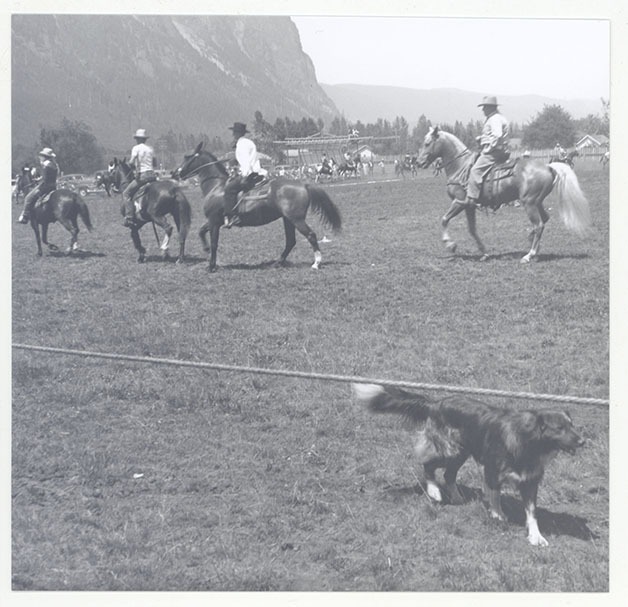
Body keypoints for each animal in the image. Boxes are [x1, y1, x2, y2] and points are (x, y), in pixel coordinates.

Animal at [173, 142, 344, 270]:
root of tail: (303, 184)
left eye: (187, 157)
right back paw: (277, 263)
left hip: (296, 219)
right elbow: (201, 232)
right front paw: (206, 250)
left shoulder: (214, 221)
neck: (216, 187)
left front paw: (211, 265)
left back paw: (316, 263)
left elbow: (214, 242)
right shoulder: (214, 221)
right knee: (290, 241)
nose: (175, 173)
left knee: (311, 235)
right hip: (288, 219)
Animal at [350, 388, 588, 548]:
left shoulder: (530, 481)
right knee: (428, 466)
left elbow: (532, 512)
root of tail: (436, 403)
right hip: (449, 449)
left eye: (572, 425)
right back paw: (434, 492)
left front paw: (535, 536)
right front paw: (497, 516)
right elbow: (494, 496)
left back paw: (456, 497)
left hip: (460, 453)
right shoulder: (492, 471)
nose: (583, 441)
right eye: (560, 428)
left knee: (448, 474)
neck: (528, 442)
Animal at [420, 127, 592, 262]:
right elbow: (472, 229)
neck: (460, 167)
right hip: (537, 202)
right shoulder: (469, 206)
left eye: (427, 143)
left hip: (529, 203)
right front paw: (484, 252)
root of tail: (549, 166)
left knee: (539, 225)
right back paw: (532, 245)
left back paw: (529, 255)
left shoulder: (458, 202)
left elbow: (444, 219)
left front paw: (450, 244)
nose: (419, 162)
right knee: (544, 220)